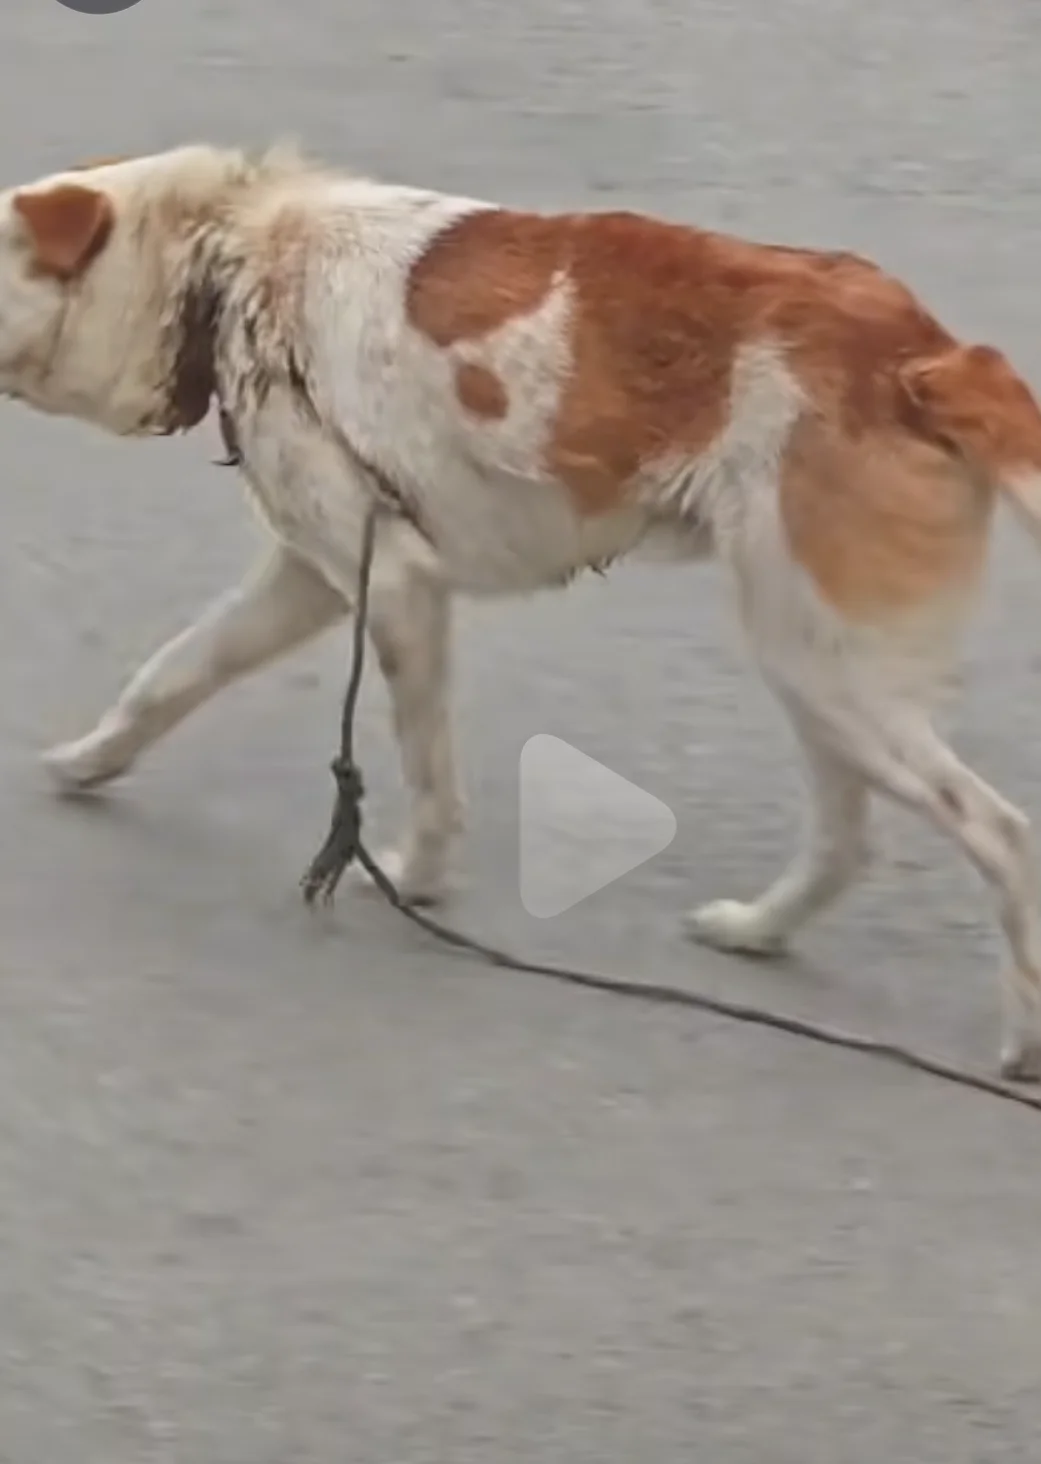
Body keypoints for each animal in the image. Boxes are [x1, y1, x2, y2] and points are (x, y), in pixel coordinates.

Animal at [2, 142, 1041, 1077]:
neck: (228, 256)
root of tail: (926, 353)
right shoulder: (310, 574)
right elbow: (171, 675)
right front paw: (89, 762)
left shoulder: (398, 589)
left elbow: (427, 776)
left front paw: (414, 881)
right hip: (816, 665)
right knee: (847, 838)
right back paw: (757, 930)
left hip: (821, 665)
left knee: (1001, 834)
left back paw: (1023, 1038)